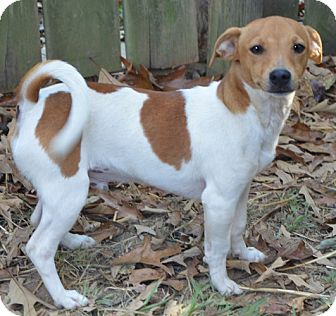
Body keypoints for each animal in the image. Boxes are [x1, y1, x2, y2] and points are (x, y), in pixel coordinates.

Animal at [11, 15, 322, 308]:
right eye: (256, 49)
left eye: (298, 47)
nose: (280, 76)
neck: (244, 109)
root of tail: (34, 102)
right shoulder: (218, 200)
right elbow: (217, 248)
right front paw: (221, 283)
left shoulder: (241, 190)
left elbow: (239, 227)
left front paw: (243, 253)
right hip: (70, 192)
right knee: (39, 247)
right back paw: (63, 297)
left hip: (58, 191)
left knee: (39, 221)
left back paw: (73, 241)